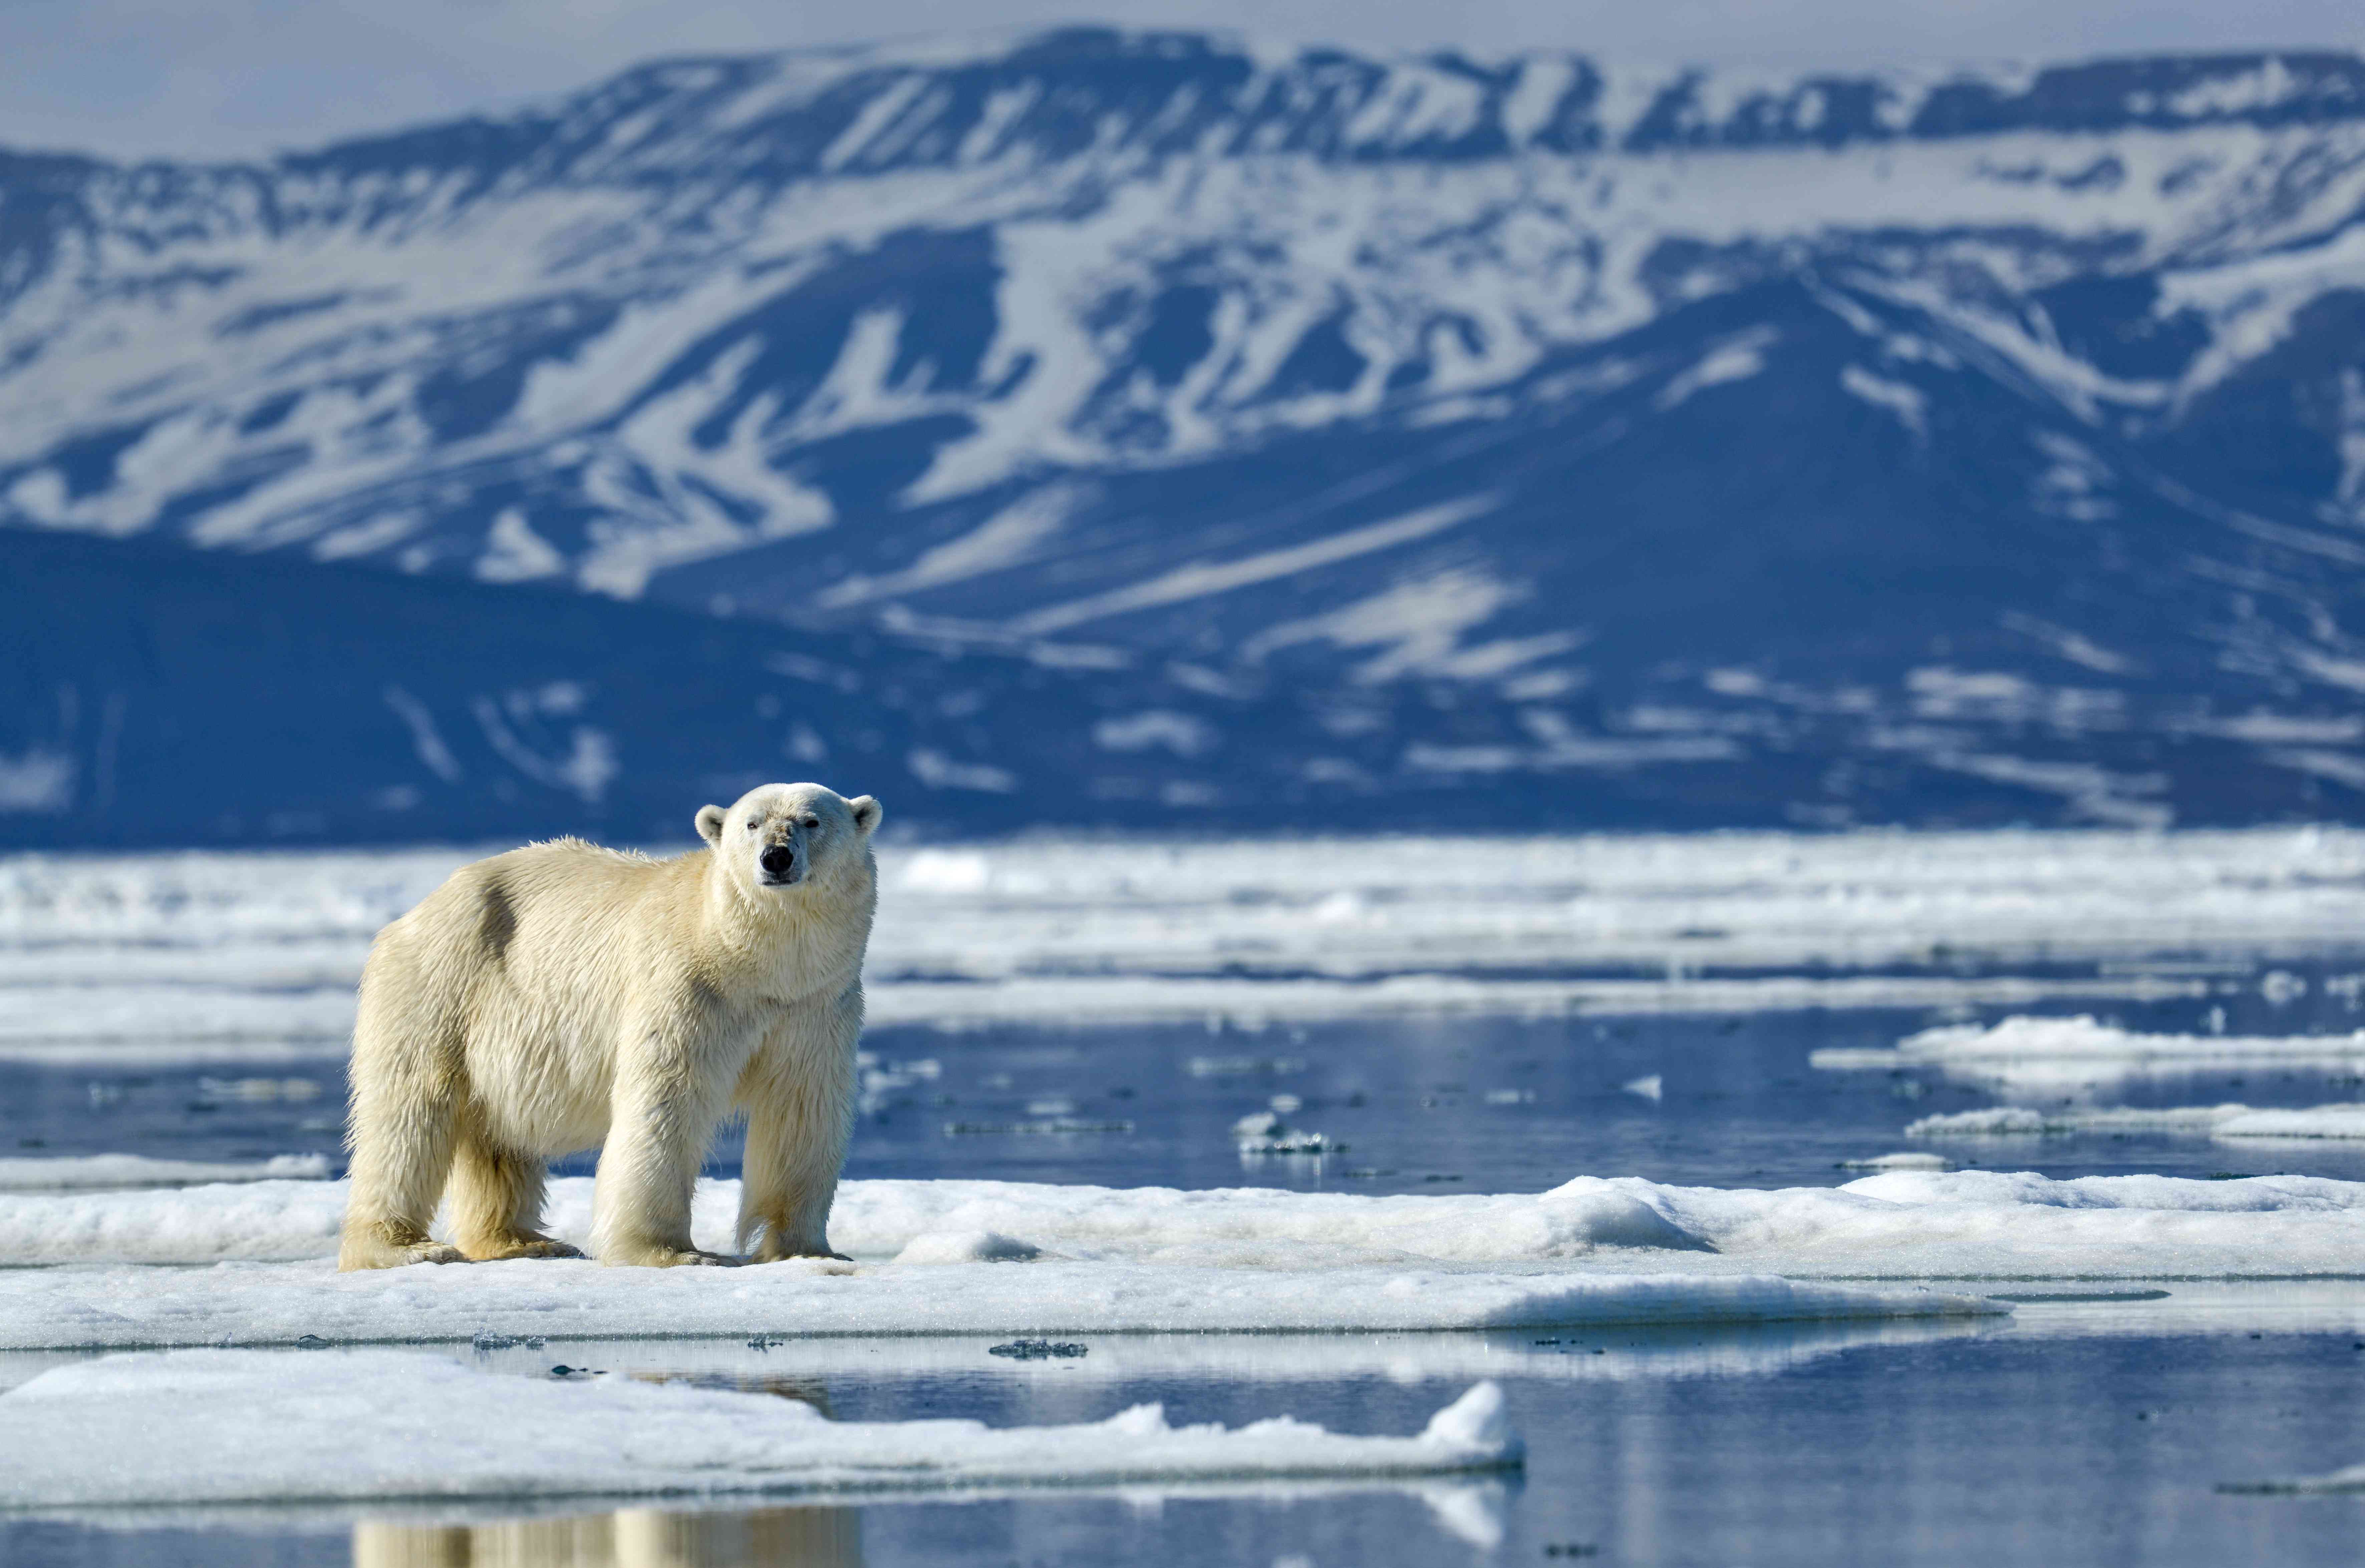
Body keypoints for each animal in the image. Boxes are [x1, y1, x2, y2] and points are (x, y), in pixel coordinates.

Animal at [338, 780, 884, 1267]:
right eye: (751, 824)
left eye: (812, 821)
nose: (776, 857)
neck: (749, 961)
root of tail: (418, 910)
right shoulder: (687, 988)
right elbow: (666, 1103)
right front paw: (673, 1252)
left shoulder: (815, 1006)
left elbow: (801, 1109)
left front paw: (807, 1248)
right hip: (441, 986)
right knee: (409, 1115)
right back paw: (407, 1247)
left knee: (496, 1138)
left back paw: (522, 1241)